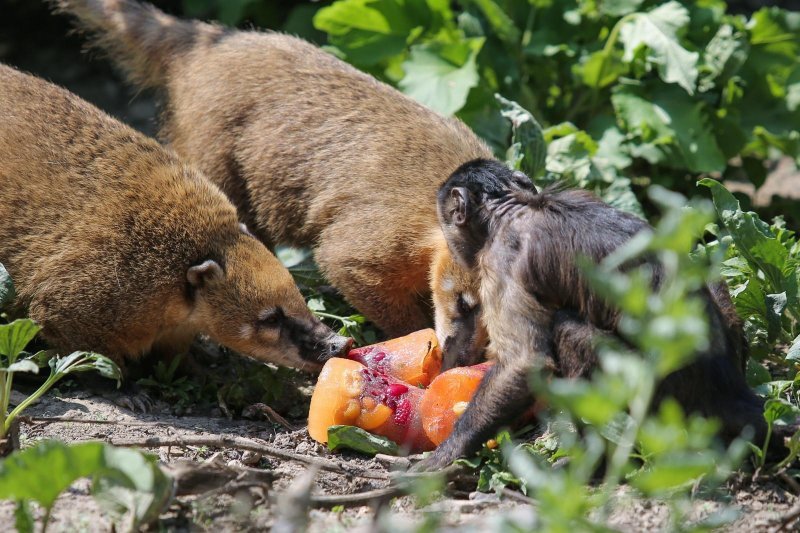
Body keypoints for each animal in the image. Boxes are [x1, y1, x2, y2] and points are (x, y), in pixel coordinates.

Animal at [0, 60, 352, 406]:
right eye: (270, 319)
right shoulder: (98, 286)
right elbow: (75, 340)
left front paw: (204, 373)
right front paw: (124, 388)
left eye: (298, 296)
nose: (340, 344)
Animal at [50, 0, 494, 338]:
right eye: (465, 304)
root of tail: (207, 41)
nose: (464, 362)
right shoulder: (385, 229)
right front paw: (416, 340)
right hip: (210, 145)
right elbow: (348, 264)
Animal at [416, 158, 780, 470]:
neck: (513, 207)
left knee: (567, 330)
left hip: (663, 397)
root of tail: (728, 389)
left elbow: (524, 364)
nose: (451, 245)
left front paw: (445, 454)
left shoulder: (502, 255)